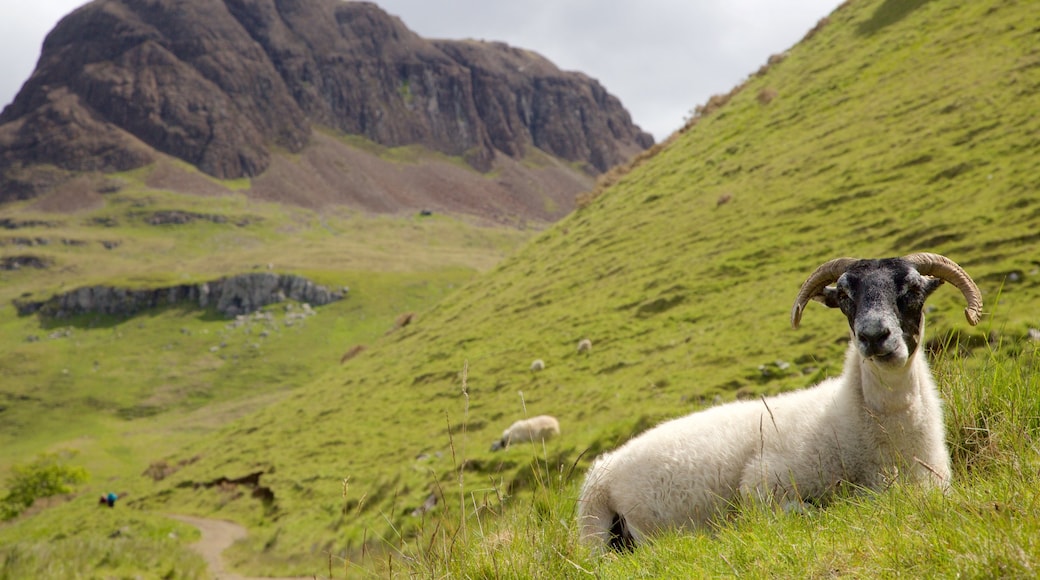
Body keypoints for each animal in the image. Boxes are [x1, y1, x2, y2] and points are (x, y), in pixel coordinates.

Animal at [578, 252, 981, 552]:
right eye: (844, 297)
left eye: (913, 289)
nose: (873, 335)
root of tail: (603, 466)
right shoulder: (762, 482)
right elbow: (808, 512)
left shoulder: (933, 485)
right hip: (604, 528)